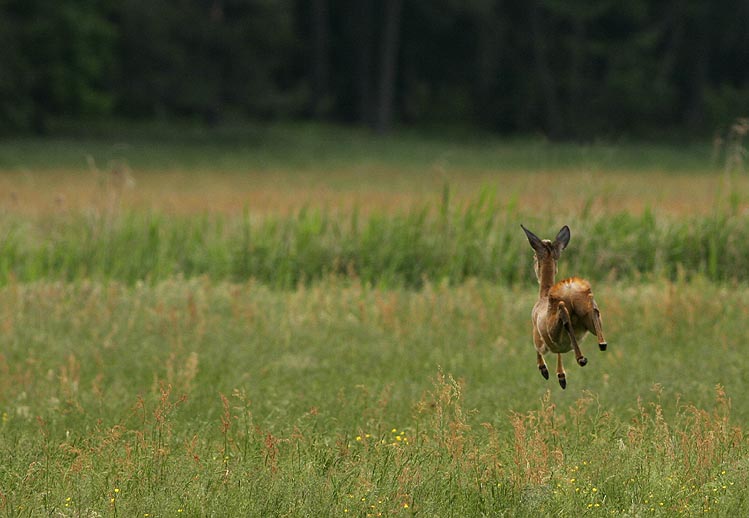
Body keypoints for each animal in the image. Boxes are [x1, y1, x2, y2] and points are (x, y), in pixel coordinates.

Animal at [520, 225, 608, 388]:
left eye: (534, 256)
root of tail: (568, 288)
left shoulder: (538, 334)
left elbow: (538, 348)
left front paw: (545, 371)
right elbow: (559, 353)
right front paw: (561, 377)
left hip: (553, 328)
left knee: (564, 315)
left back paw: (581, 358)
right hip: (588, 318)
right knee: (593, 308)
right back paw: (602, 344)